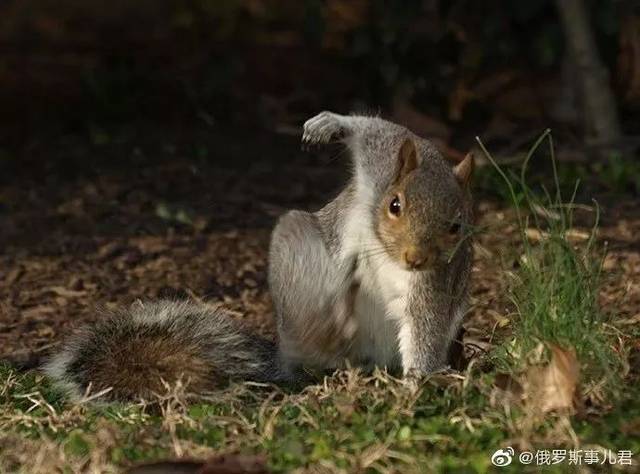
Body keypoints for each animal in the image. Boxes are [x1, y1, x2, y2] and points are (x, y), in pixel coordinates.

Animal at [43, 113, 476, 402]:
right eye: (394, 204)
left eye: (457, 225)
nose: (415, 258)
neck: (385, 249)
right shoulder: (381, 161)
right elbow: (374, 129)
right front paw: (328, 124)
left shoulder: (434, 282)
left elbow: (425, 327)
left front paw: (418, 383)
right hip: (295, 248)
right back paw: (326, 329)